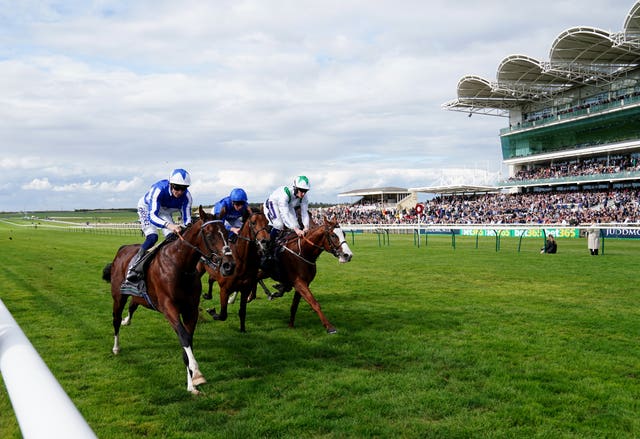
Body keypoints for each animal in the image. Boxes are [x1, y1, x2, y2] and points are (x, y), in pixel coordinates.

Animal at [102, 206, 235, 396]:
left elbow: (188, 342)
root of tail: (122, 249)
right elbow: (184, 337)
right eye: (209, 235)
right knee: (115, 319)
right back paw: (116, 347)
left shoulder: (190, 310)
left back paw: (127, 320)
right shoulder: (168, 307)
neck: (181, 266)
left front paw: (191, 385)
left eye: (226, 232)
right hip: (118, 296)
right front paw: (198, 374)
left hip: (139, 296)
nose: (229, 265)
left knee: (133, 305)